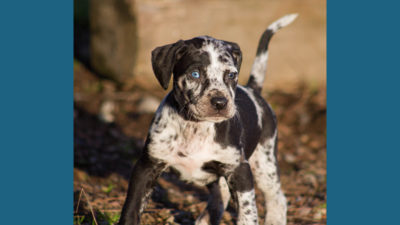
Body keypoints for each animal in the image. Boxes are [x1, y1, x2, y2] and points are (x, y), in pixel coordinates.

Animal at [118, 14, 296, 225]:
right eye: (195, 74)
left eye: (231, 74)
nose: (220, 102)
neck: (195, 127)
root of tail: (254, 90)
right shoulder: (147, 166)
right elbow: (131, 208)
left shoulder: (240, 171)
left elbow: (247, 214)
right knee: (221, 196)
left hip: (264, 162)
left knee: (277, 197)